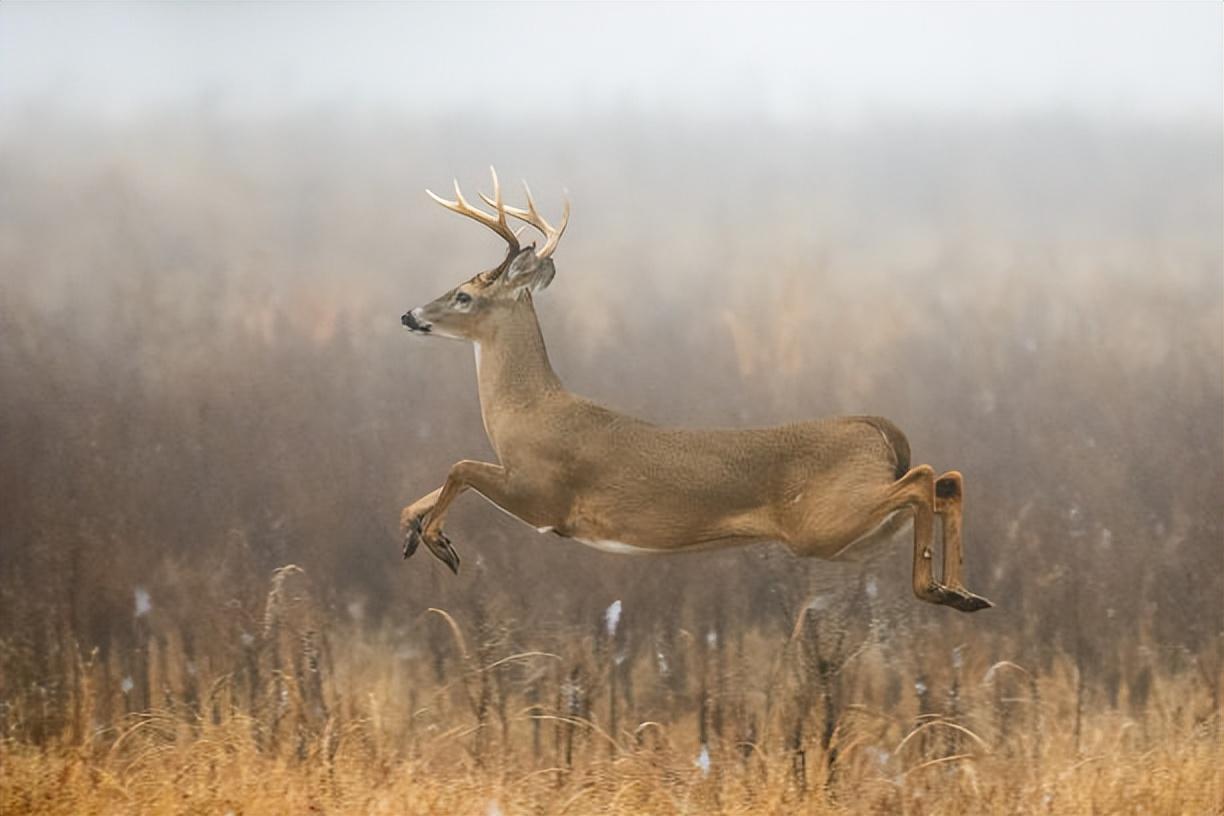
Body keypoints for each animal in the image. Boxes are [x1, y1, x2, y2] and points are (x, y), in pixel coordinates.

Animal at [401, 167, 993, 611]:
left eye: (463, 295)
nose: (409, 315)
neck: (527, 414)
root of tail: (880, 430)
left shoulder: (546, 498)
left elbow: (461, 466)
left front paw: (439, 543)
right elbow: (436, 485)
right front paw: (414, 528)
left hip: (823, 520)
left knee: (926, 478)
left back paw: (939, 588)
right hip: (852, 529)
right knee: (948, 481)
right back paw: (963, 591)